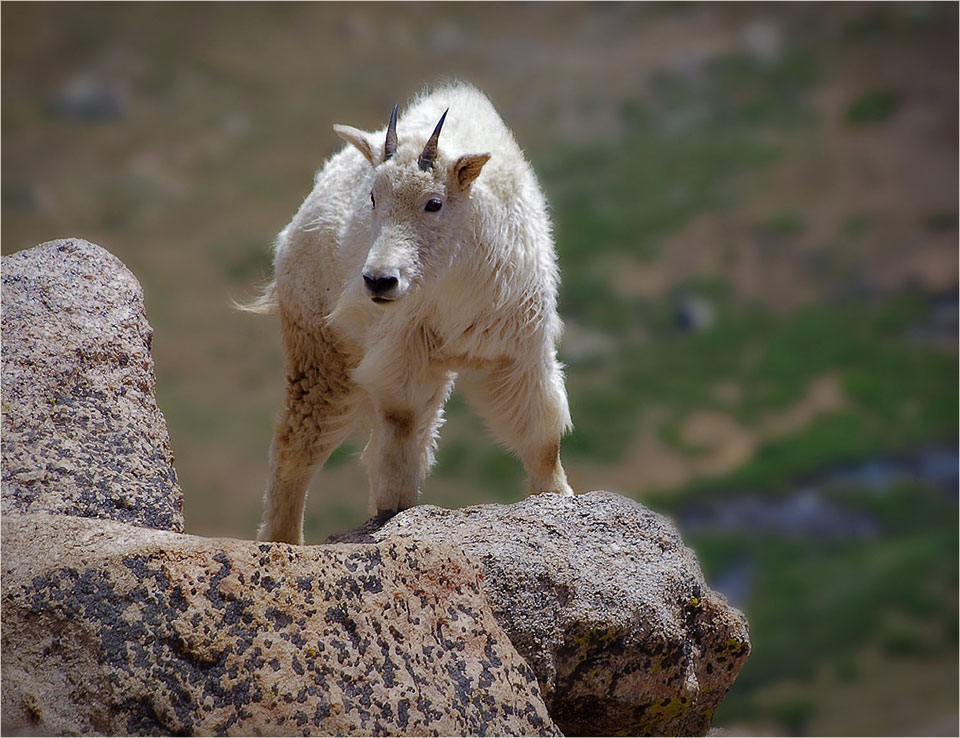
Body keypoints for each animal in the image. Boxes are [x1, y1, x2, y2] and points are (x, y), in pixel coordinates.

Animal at [249, 83, 576, 544]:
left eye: (433, 203)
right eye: (372, 197)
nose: (378, 281)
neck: (452, 279)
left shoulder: (521, 346)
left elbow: (541, 434)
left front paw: (558, 497)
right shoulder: (403, 345)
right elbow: (401, 421)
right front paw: (394, 509)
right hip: (322, 347)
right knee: (297, 443)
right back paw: (281, 540)